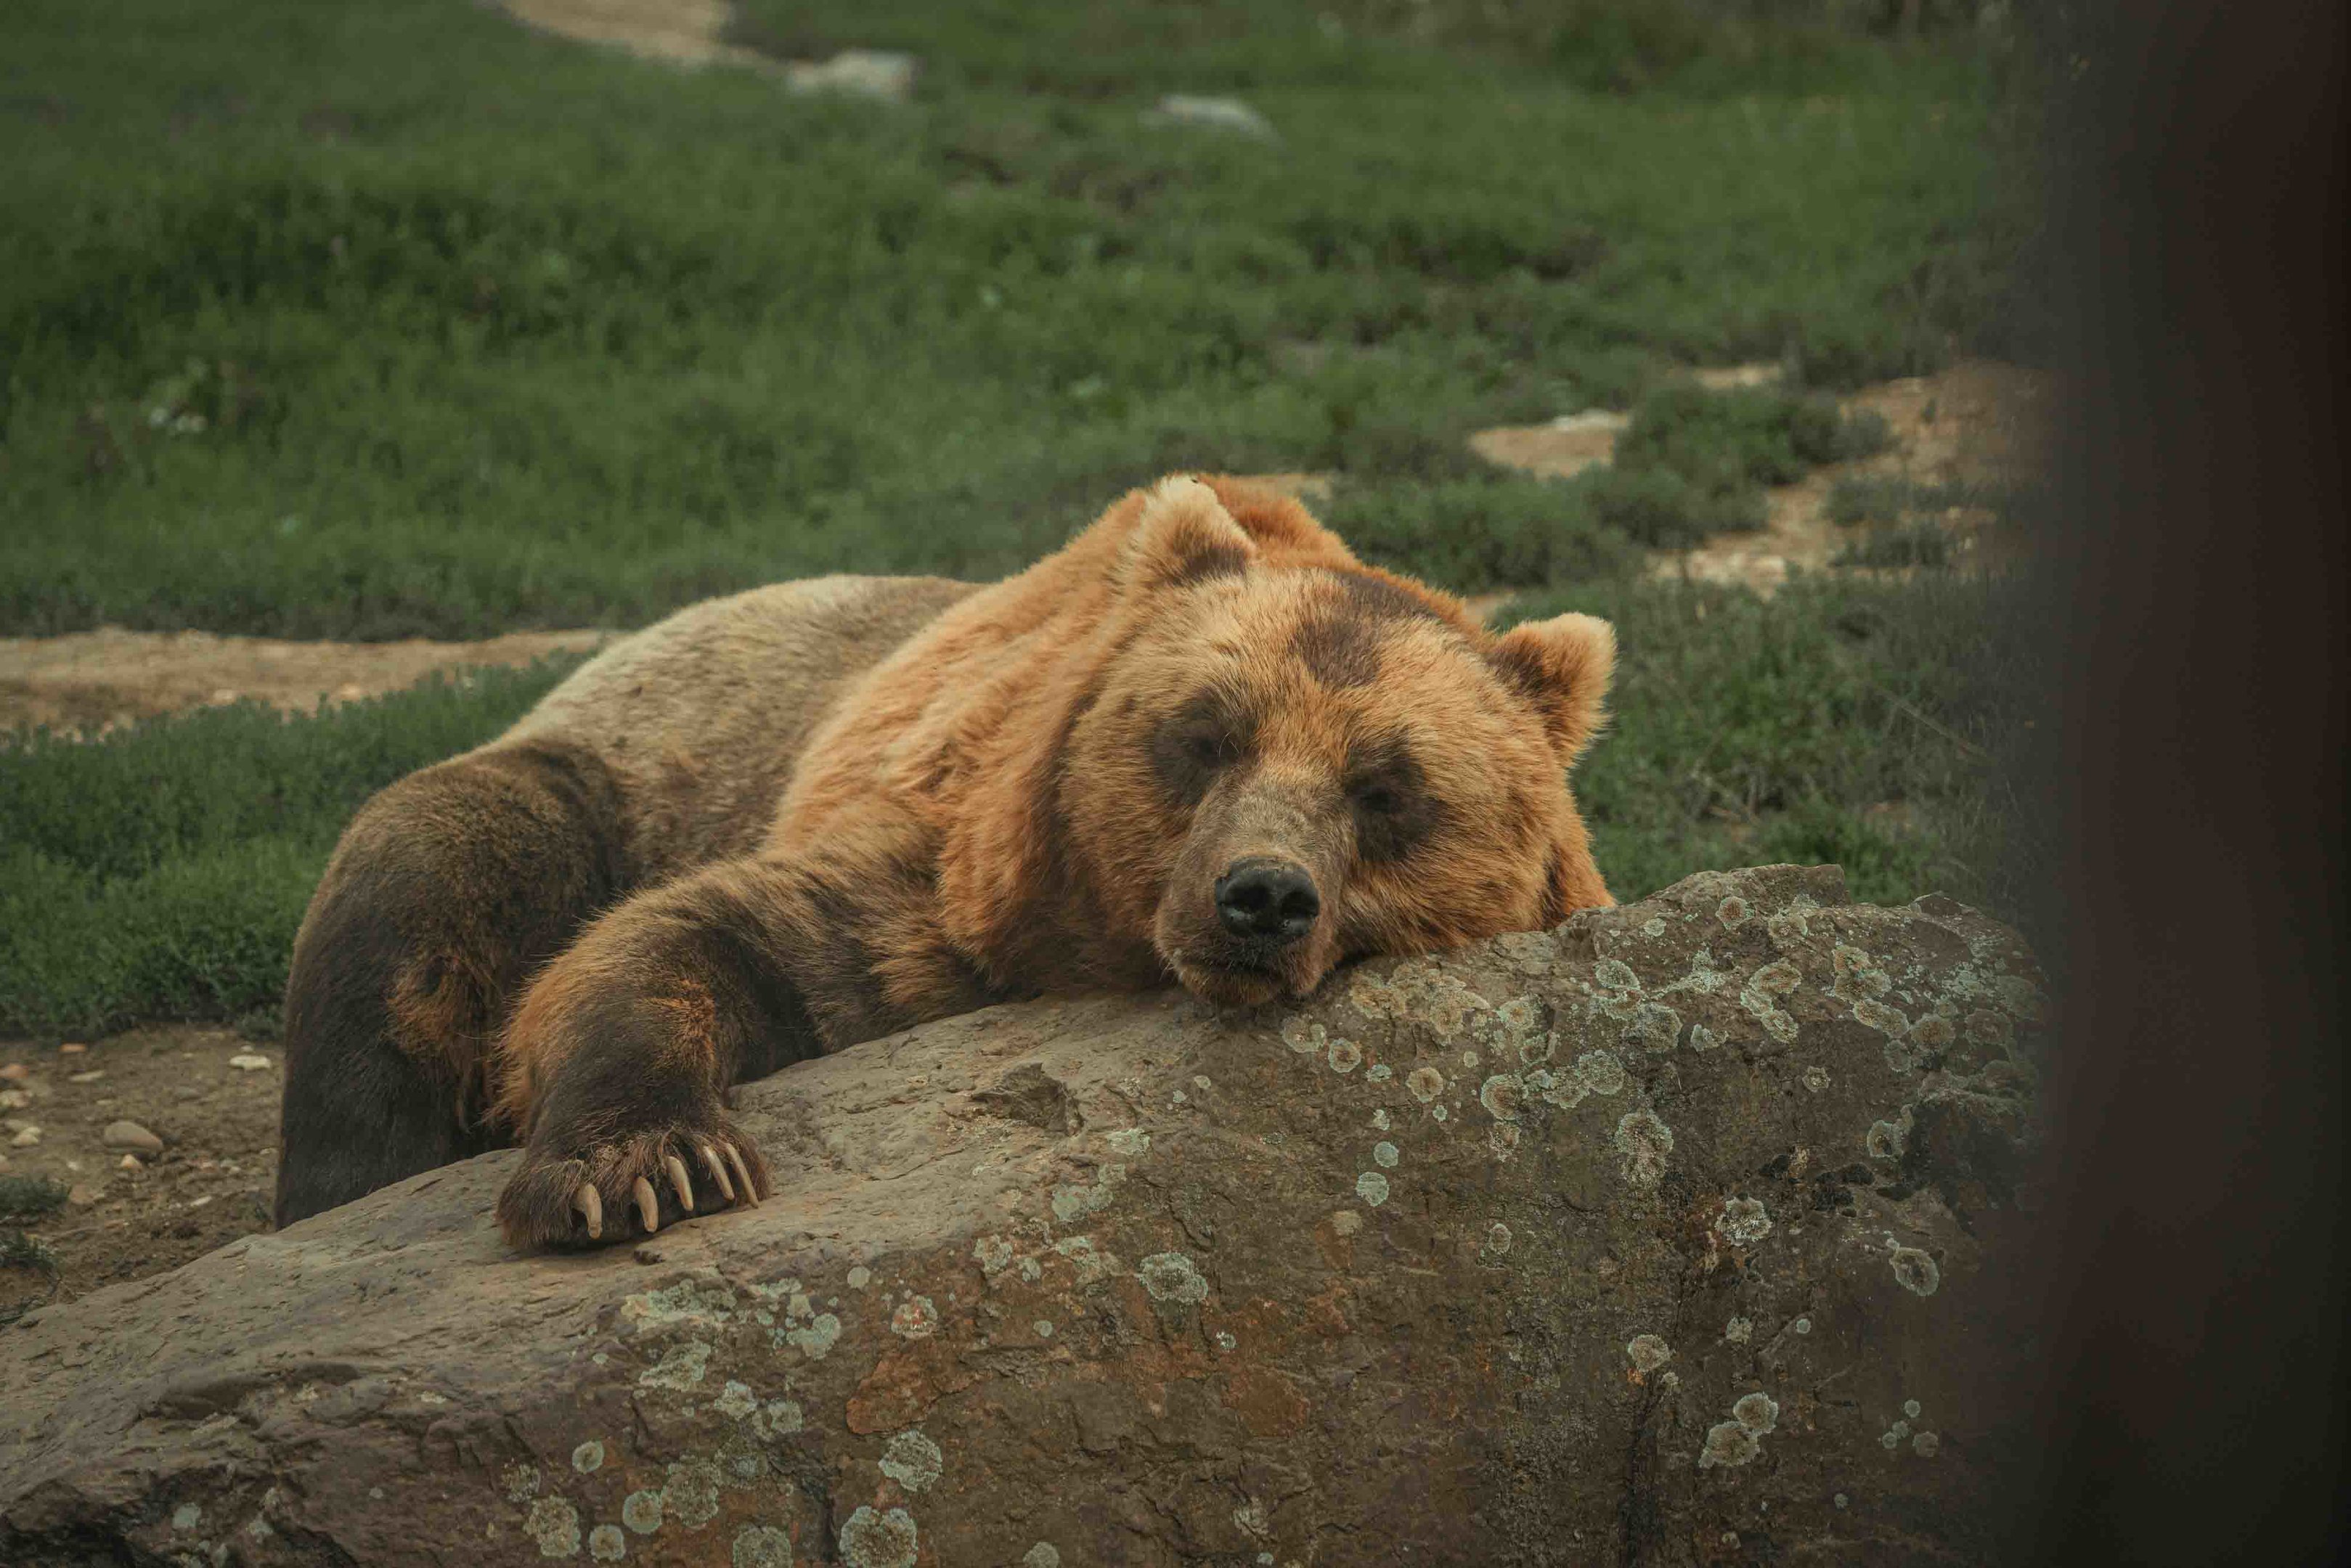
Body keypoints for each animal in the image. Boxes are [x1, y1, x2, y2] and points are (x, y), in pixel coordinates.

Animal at [272, 475, 1616, 1249]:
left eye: (1386, 790)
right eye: (1203, 734)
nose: (1260, 899)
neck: (1097, 941)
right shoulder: (937, 886)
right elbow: (688, 942)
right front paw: (647, 1168)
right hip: (612, 773)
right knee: (419, 873)